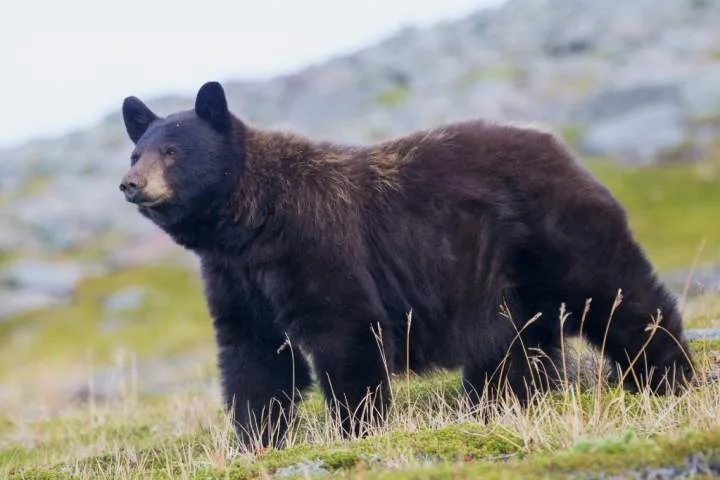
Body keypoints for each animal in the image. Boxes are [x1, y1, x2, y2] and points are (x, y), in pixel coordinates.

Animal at [119, 81, 695, 449]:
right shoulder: (236, 278)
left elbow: (345, 331)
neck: (248, 223)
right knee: (515, 346)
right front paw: (257, 437)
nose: (131, 184)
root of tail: (561, 148)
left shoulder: (315, 243)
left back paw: (667, 375)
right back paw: (499, 403)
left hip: (556, 235)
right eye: (136, 153)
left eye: (172, 150)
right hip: (500, 279)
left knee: (617, 296)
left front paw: (357, 426)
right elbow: (253, 354)